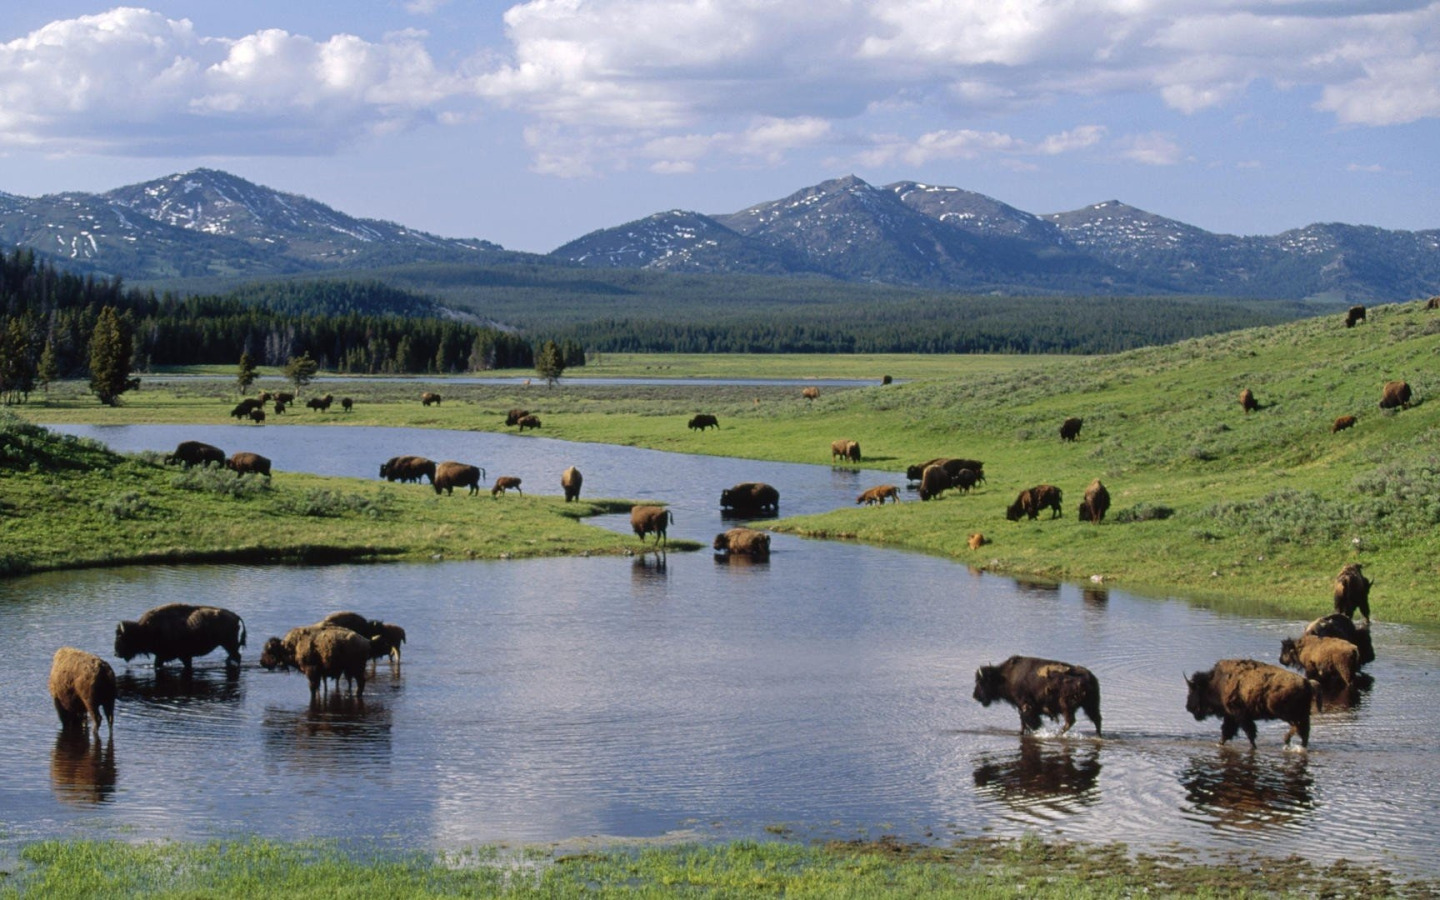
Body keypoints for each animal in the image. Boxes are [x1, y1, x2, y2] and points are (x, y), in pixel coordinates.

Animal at [113, 599, 246, 671]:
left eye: (121, 637)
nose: (116, 653)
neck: (145, 628)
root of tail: (235, 616)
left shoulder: (181, 656)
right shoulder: (164, 656)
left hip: (229, 644)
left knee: (237, 656)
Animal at [973, 656, 1105, 734]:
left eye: (981, 682)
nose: (975, 696)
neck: (1004, 677)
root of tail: (1089, 678)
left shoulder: (1026, 706)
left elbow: (1028, 720)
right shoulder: (1022, 708)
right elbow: (1023, 722)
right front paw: (1021, 733)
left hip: (1067, 706)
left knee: (1071, 721)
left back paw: (1059, 733)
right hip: (1090, 705)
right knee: (1096, 719)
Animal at [1180, 656, 1319, 748]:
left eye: (1193, 690)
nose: (1188, 707)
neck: (1217, 683)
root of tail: (1306, 682)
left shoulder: (1239, 715)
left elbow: (1248, 732)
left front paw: (1253, 746)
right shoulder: (1231, 716)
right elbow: (1227, 731)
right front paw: (1220, 743)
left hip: (1288, 714)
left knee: (1299, 727)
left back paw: (1286, 740)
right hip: (1301, 714)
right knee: (1304, 731)